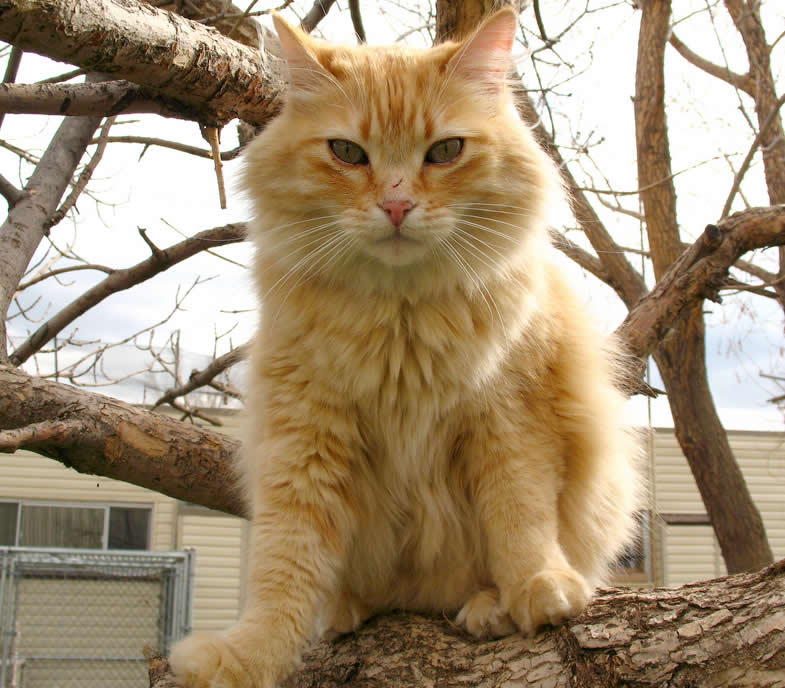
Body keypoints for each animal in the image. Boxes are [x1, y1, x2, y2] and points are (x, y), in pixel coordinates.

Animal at [168, 8, 640, 684]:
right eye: (346, 153)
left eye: (445, 152)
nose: (396, 204)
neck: (400, 319)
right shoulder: (304, 441)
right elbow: (282, 572)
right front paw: (247, 655)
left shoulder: (511, 420)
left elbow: (520, 516)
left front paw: (538, 588)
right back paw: (347, 610)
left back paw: (489, 608)